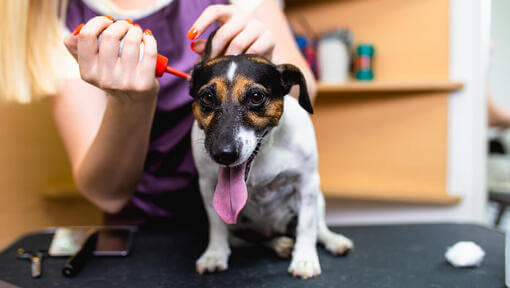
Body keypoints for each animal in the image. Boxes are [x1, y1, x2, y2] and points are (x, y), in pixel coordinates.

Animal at [189, 31, 352, 280]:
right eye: (207, 97)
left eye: (256, 96)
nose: (223, 153)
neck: (264, 152)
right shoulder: (207, 186)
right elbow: (216, 223)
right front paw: (214, 254)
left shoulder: (307, 182)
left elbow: (307, 226)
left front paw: (304, 259)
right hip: (241, 231)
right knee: (254, 240)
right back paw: (279, 244)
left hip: (319, 197)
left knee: (318, 226)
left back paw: (333, 240)